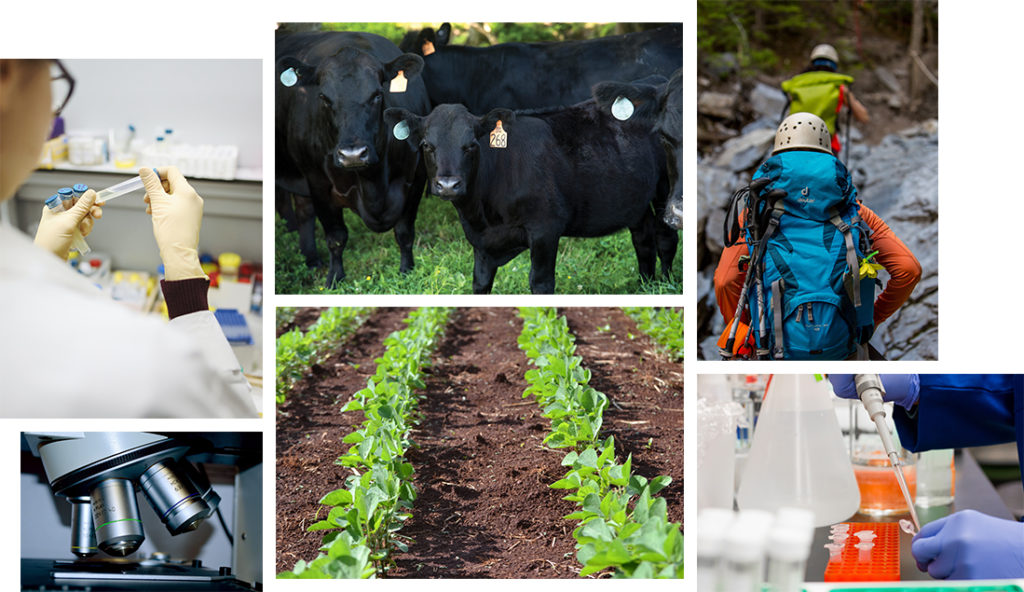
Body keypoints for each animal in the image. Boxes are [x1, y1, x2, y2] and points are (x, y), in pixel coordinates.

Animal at [274, 32, 430, 286]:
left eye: (377, 95)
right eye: (324, 97)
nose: (353, 154)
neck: (374, 183)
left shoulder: (417, 177)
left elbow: (405, 232)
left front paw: (407, 271)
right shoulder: (318, 183)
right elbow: (336, 237)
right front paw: (334, 279)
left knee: (303, 211)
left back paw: (311, 260)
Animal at [387, 91, 675, 290]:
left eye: (471, 145)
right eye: (426, 145)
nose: (448, 185)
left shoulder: (545, 229)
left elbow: (541, 282)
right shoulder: (481, 243)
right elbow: (480, 282)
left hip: (667, 188)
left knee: (665, 238)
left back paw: (667, 284)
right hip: (636, 200)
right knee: (643, 237)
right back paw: (646, 285)